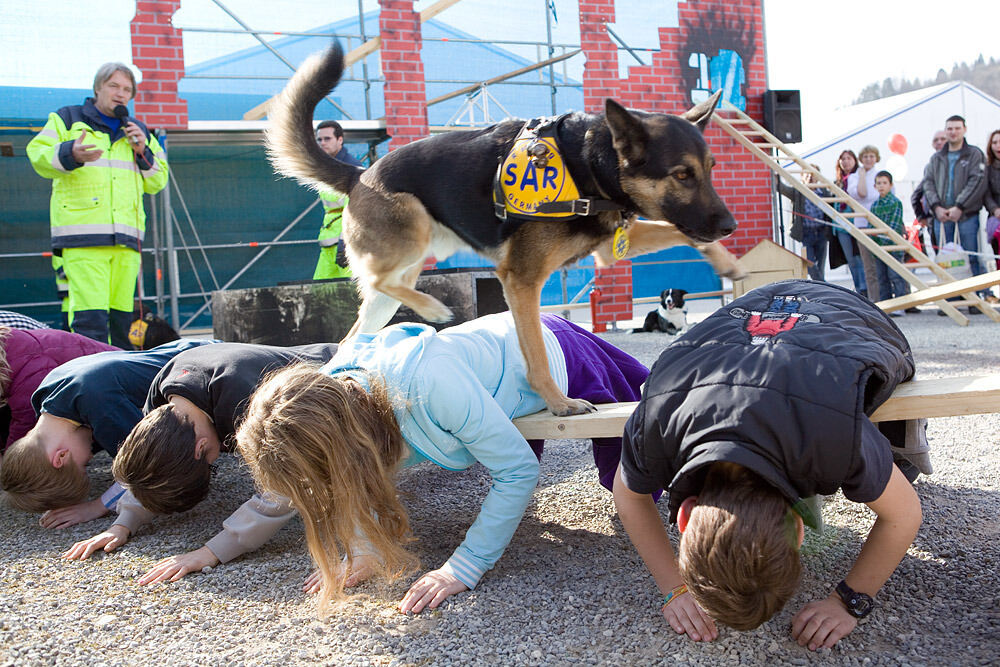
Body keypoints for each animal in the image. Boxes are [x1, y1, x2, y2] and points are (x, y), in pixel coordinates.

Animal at [266, 41, 744, 414]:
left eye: (710, 170)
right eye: (682, 175)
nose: (729, 225)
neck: (592, 163)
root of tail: (359, 174)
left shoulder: (612, 246)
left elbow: (676, 228)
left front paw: (728, 262)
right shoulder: (521, 280)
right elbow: (535, 352)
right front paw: (559, 403)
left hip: (388, 291)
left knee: (357, 329)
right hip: (413, 227)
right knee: (382, 279)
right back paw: (432, 309)